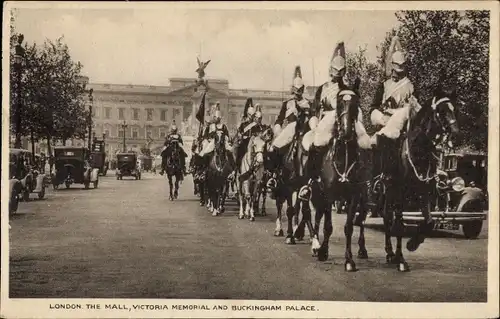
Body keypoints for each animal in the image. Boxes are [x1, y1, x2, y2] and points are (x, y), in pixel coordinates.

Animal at [306, 79, 370, 272]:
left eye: (356, 103)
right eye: (340, 103)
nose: (347, 132)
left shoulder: (354, 196)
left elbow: (349, 227)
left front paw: (349, 260)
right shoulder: (327, 194)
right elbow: (327, 225)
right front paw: (322, 251)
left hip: (363, 196)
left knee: (361, 220)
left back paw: (362, 249)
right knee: (317, 215)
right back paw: (316, 245)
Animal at [370, 85, 458, 272]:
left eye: (454, 109)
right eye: (441, 111)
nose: (455, 133)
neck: (419, 149)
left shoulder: (424, 192)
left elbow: (429, 221)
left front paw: (412, 244)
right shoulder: (400, 193)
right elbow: (400, 226)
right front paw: (401, 259)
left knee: (388, 217)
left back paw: (391, 253)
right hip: (389, 190)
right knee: (389, 219)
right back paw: (391, 254)